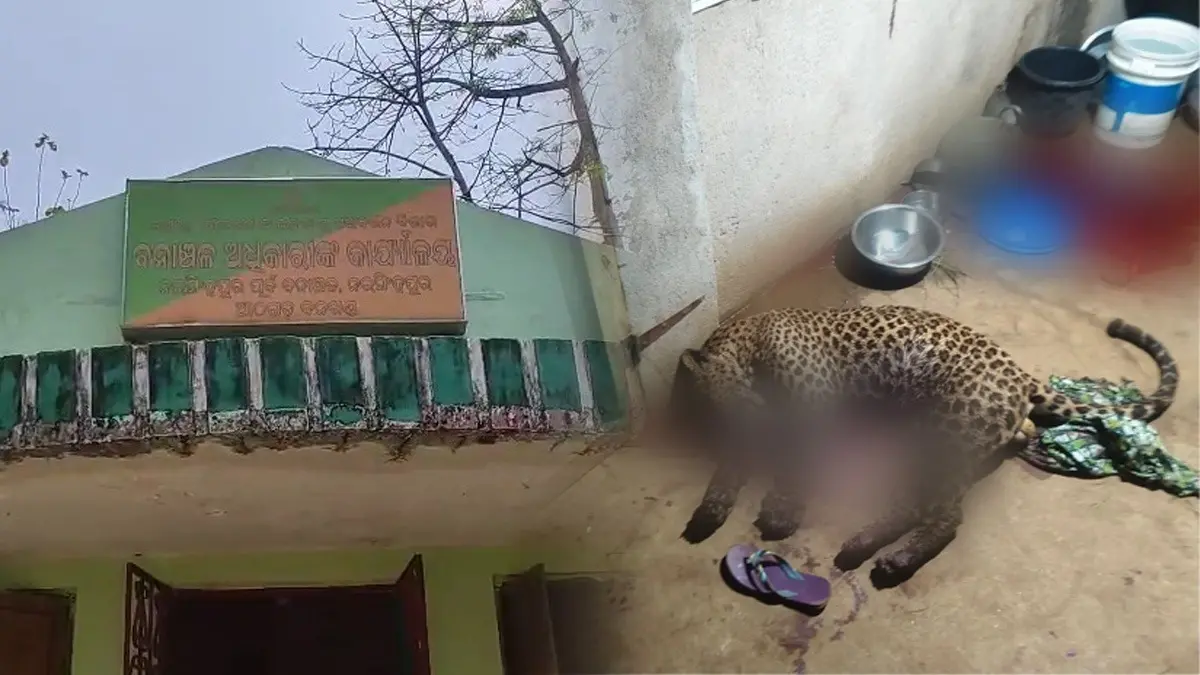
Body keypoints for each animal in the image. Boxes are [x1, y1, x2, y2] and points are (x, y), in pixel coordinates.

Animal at [669, 304, 1178, 584]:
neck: (747, 342)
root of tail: (1023, 374)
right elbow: (731, 469)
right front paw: (709, 512)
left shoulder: (813, 410)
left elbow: (797, 465)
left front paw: (779, 513)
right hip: (936, 434)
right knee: (927, 502)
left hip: (949, 429)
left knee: (946, 515)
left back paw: (885, 558)